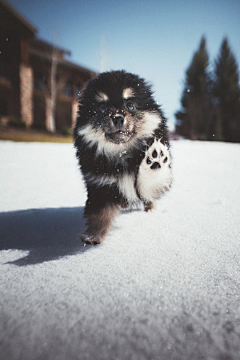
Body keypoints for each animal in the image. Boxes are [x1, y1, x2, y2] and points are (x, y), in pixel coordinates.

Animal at [73, 69, 172, 245]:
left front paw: (155, 159)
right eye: (102, 108)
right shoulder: (101, 184)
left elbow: (150, 183)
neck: (122, 153)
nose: (118, 117)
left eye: (130, 105)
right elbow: (100, 213)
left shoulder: (149, 183)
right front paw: (93, 236)